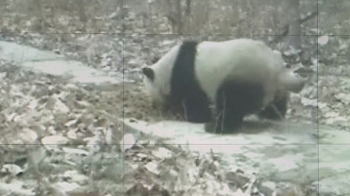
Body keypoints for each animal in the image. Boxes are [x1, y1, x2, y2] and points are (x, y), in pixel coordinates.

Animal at [142, 38, 308, 133]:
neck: (167, 68)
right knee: (275, 102)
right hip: (271, 86)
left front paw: (189, 116)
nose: (153, 106)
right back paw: (275, 115)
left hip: (243, 76)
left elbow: (195, 103)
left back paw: (216, 127)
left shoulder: (188, 78)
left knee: (232, 105)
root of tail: (277, 72)